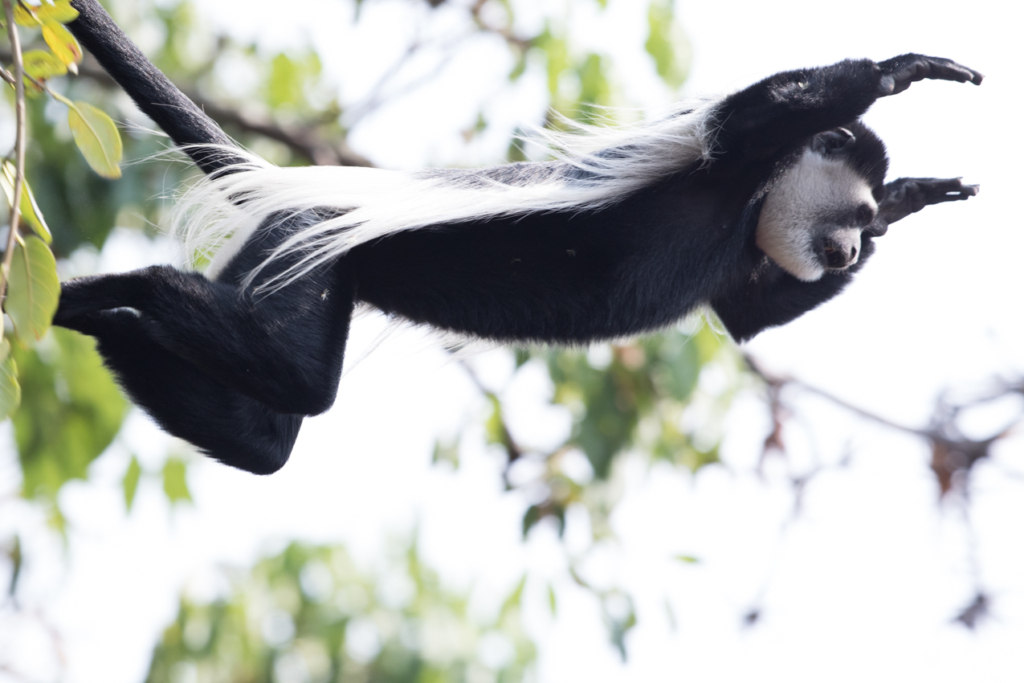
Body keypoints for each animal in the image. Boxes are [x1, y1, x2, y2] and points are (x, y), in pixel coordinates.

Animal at [56, 0, 983, 475]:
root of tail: (297, 184)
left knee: (267, 435)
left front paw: (913, 196)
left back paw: (104, 321)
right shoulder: (732, 163)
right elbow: (746, 118)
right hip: (308, 247)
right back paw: (114, 293)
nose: (854, 249)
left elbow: (747, 314)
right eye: (848, 220)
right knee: (293, 378)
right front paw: (897, 72)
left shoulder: (753, 247)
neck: (755, 205)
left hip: (278, 250)